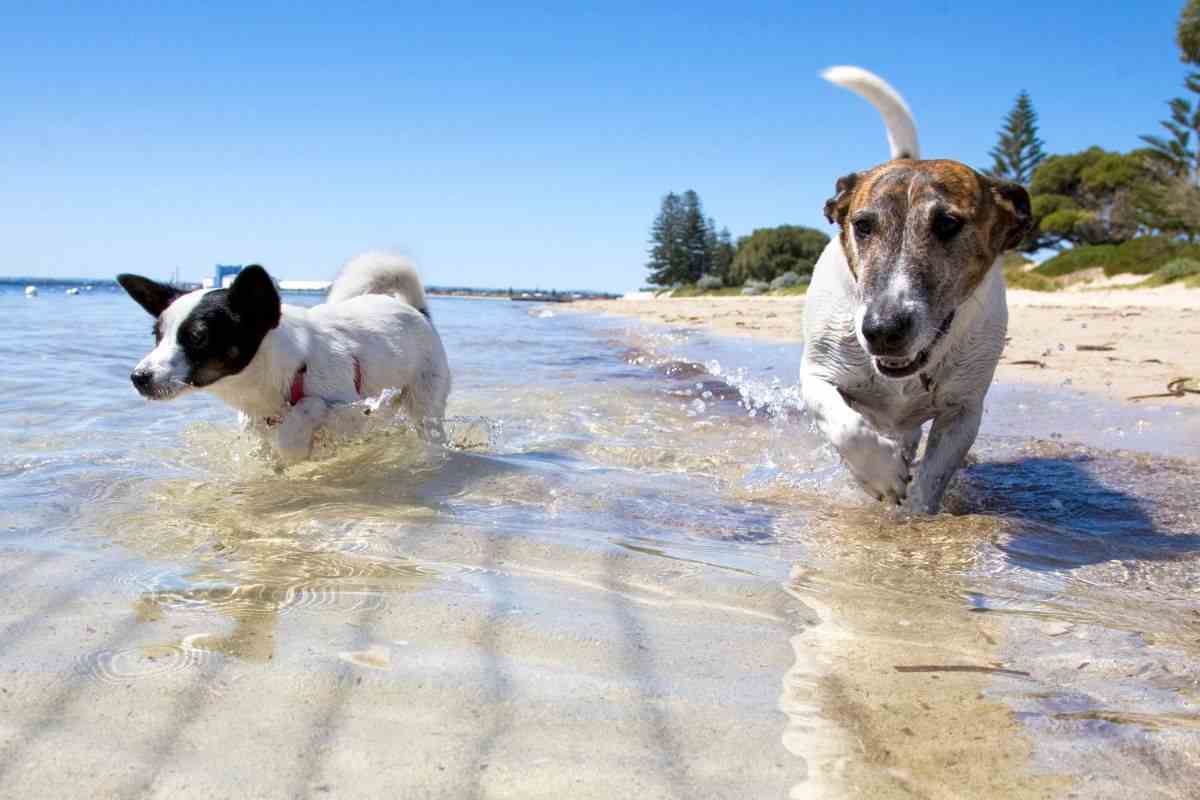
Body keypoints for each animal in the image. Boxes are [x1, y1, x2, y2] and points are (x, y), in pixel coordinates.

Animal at [120, 250, 451, 462]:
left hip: (426, 407)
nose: (138, 378)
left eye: (198, 337)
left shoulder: (352, 415)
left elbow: (301, 422)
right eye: (157, 336)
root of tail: (416, 310)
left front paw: (297, 432)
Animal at [796, 65, 1032, 510]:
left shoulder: (963, 410)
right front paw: (881, 473)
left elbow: (933, 477)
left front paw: (914, 514)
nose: (883, 330)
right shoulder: (818, 375)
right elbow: (845, 425)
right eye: (862, 225)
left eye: (948, 224)